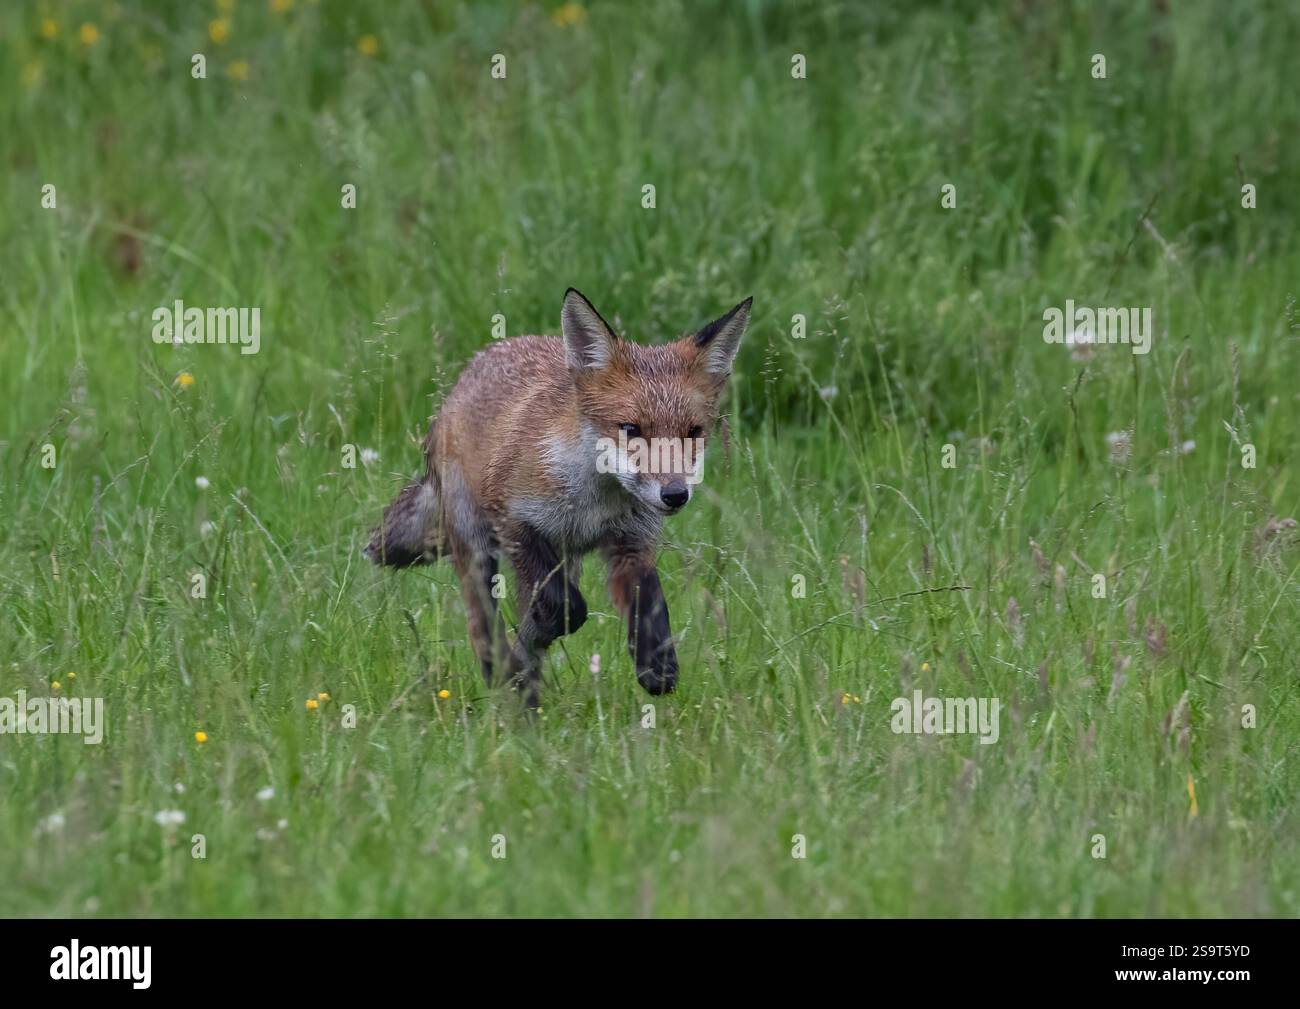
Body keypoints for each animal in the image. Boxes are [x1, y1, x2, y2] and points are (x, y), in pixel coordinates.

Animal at [364, 288, 752, 707]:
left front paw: (657, 665)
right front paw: (533, 642)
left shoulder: (630, 542)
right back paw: (507, 679)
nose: (675, 495)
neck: (593, 504)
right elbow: (565, 609)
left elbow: (650, 605)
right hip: (476, 544)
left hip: (566, 558)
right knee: (483, 624)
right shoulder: (516, 523)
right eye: (631, 429)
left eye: (693, 432)